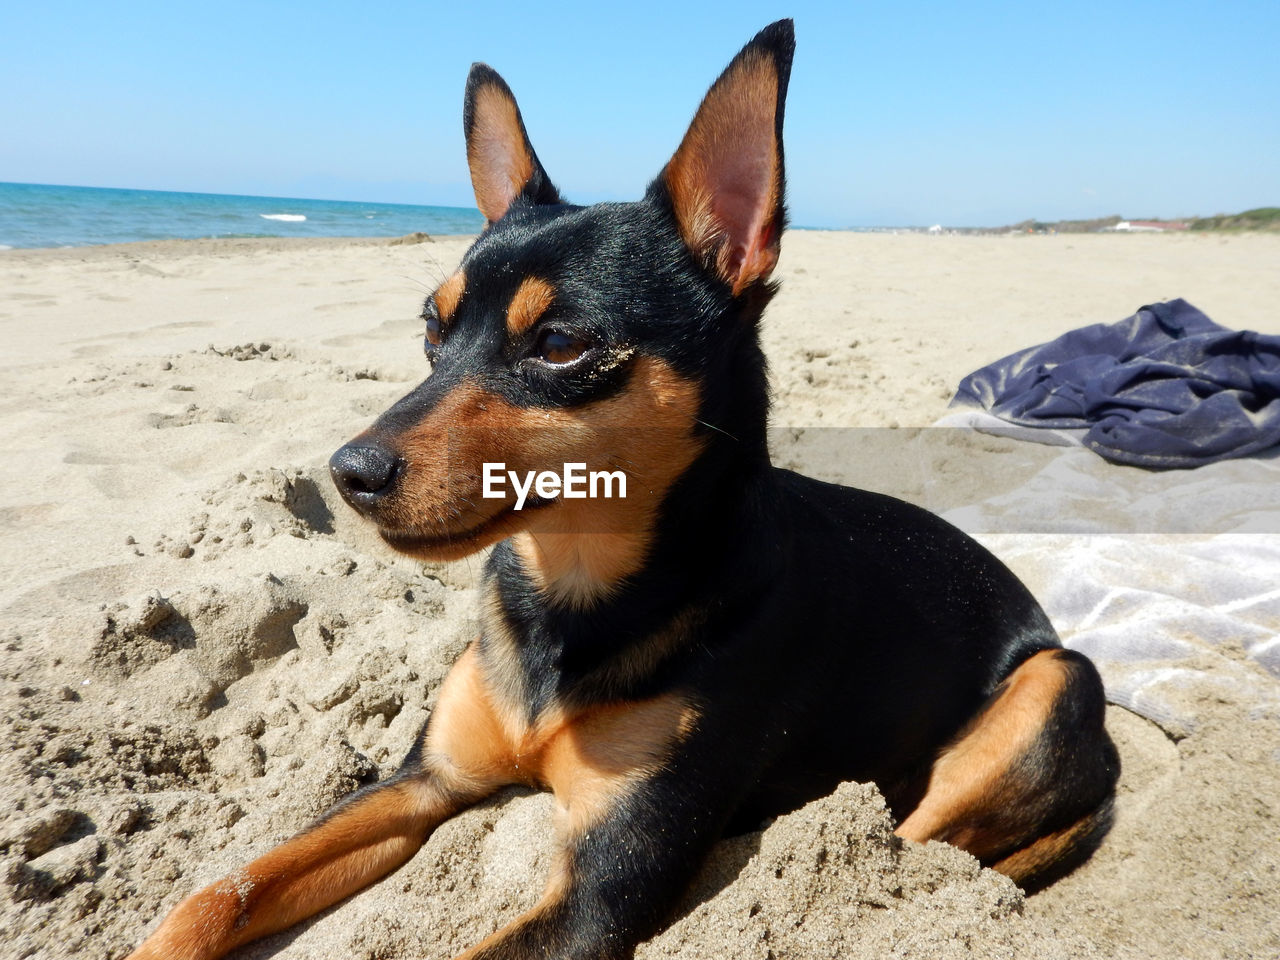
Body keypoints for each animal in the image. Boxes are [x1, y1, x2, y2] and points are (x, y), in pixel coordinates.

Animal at [124, 22, 1116, 960]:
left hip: (1053, 684)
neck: (567, 592)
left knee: (925, 840)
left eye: (561, 345)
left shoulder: (596, 901)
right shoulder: (422, 784)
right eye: (432, 335)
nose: (350, 472)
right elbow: (217, 896)